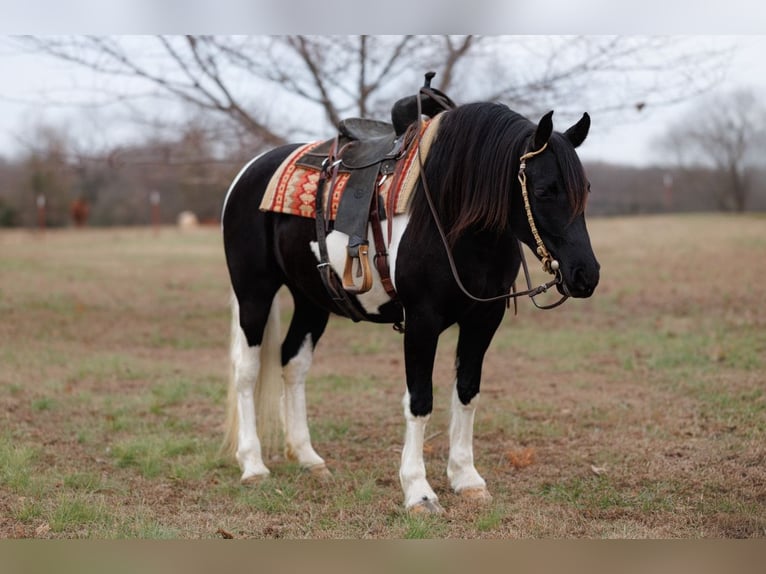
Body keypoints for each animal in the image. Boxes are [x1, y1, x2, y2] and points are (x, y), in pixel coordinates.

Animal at [220, 99, 600, 514]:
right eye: (545, 190)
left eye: (586, 189)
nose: (586, 274)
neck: (451, 218)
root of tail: (251, 170)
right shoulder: (421, 321)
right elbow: (420, 400)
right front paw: (419, 490)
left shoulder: (484, 319)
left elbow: (467, 392)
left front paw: (467, 478)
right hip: (254, 292)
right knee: (246, 371)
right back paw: (253, 465)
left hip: (311, 300)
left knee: (293, 363)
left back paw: (308, 458)